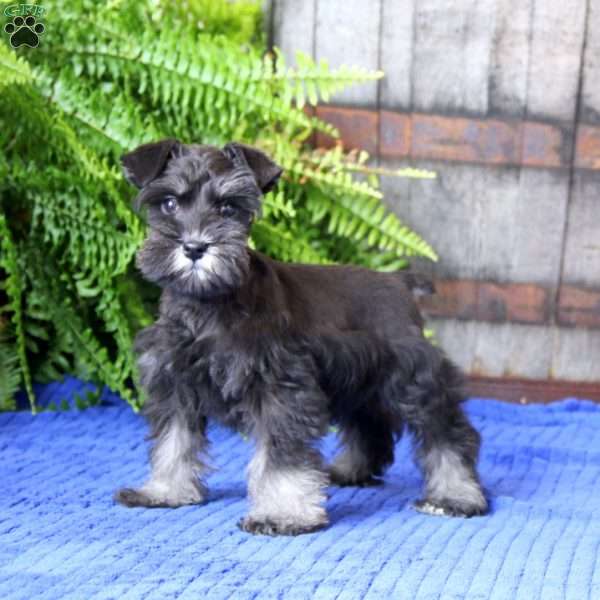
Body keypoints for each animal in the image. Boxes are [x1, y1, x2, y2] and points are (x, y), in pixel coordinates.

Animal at [113, 139, 488, 536]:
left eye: (229, 207)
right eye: (169, 203)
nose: (195, 247)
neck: (209, 302)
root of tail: (399, 283)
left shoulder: (282, 388)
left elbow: (283, 457)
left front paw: (283, 514)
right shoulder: (175, 385)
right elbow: (173, 442)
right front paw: (164, 491)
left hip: (414, 381)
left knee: (448, 433)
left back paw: (456, 495)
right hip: (358, 383)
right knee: (371, 428)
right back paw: (348, 471)